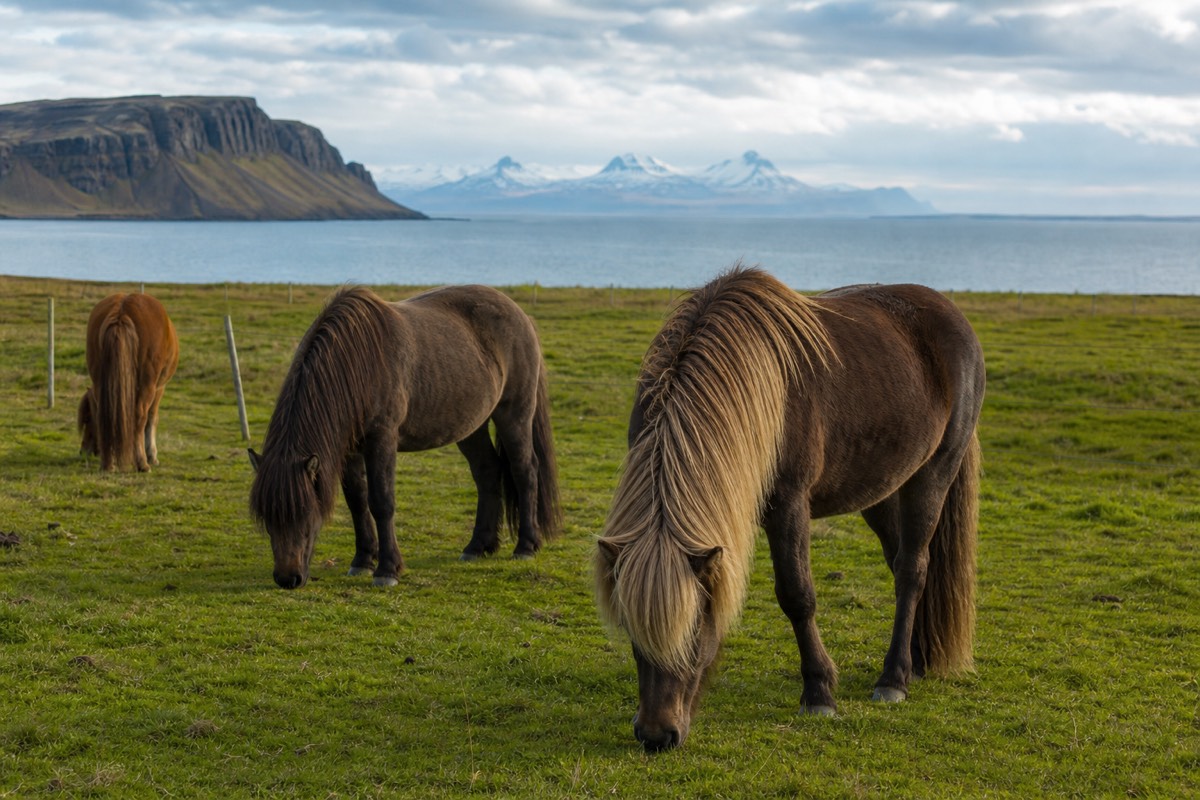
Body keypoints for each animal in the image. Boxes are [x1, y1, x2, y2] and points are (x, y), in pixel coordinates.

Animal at [78, 293, 179, 472]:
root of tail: (122, 311)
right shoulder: (159, 388)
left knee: (105, 414)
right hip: (148, 385)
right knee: (140, 416)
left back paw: (108, 464)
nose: (83, 451)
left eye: (88, 420)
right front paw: (151, 455)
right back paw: (142, 463)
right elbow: (151, 418)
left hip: (100, 383)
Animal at [248, 284, 562, 590]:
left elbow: (381, 502)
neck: (358, 362)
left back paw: (526, 546)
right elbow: (357, 502)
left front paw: (387, 570)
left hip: (514, 414)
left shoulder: (382, 440)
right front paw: (362, 561)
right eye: (267, 518)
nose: (287, 579)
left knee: (525, 471)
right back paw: (477, 547)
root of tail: (520, 314)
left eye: (304, 514)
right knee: (487, 472)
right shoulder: (350, 449)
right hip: (472, 427)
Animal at [594, 267, 984, 752]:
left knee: (912, 569)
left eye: (695, 629)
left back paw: (893, 679)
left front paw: (818, 693)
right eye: (631, 630)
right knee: (901, 563)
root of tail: (952, 314)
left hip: (933, 473)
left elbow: (797, 596)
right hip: (882, 488)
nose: (655, 735)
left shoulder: (789, 506)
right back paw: (914, 657)